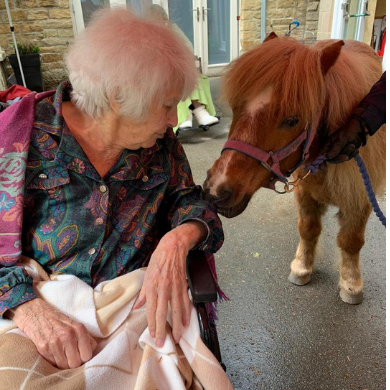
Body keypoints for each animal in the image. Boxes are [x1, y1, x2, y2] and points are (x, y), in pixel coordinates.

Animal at [203, 33, 386, 304]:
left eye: (292, 120)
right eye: (236, 108)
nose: (216, 190)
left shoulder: (360, 197)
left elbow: (351, 240)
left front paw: (351, 283)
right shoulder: (304, 192)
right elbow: (308, 229)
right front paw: (302, 266)